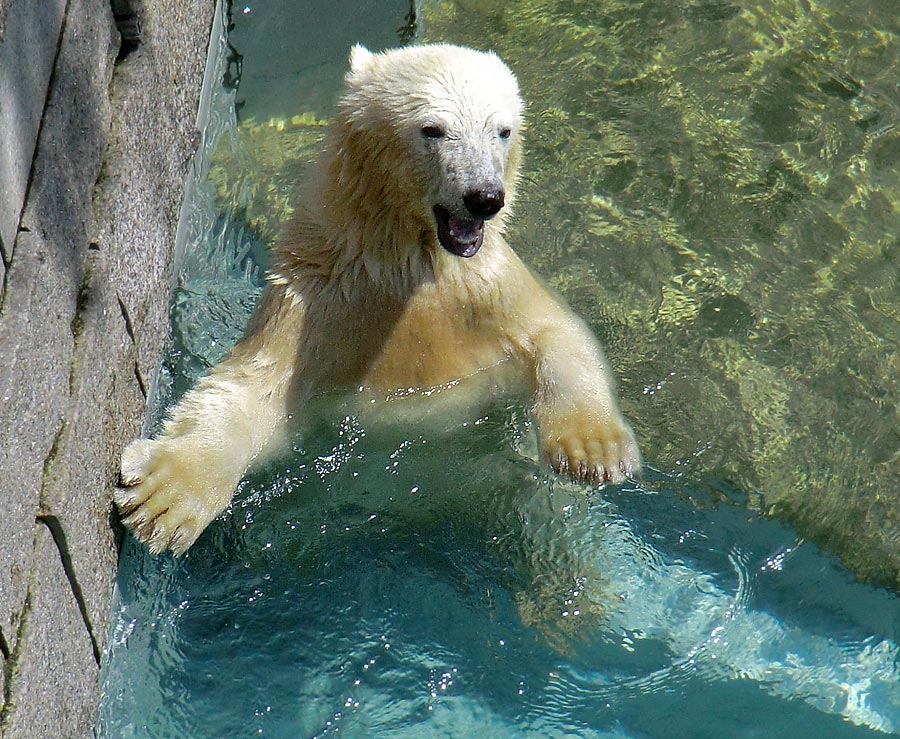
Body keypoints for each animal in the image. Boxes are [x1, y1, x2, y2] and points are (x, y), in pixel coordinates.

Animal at [116, 44, 640, 556]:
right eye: (433, 129)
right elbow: (249, 386)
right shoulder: (319, 299)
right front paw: (164, 498)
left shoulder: (487, 289)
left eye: (503, 130)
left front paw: (593, 452)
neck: (405, 264)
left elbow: (559, 334)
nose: (485, 197)